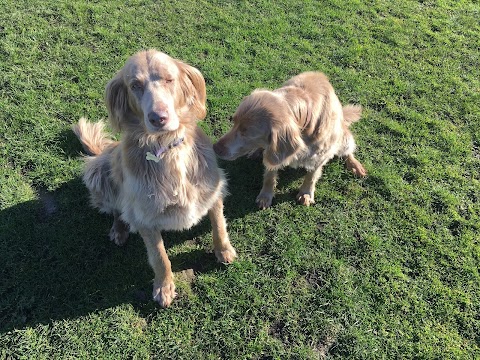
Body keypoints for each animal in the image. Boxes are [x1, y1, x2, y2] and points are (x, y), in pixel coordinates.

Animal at [72, 49, 236, 306]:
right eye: (135, 86)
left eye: (169, 79)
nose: (158, 117)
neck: (167, 149)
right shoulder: (145, 218)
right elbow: (160, 257)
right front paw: (164, 286)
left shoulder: (213, 190)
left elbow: (219, 225)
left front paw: (224, 250)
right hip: (99, 173)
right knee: (118, 208)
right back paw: (119, 229)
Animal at [214, 71, 368, 208]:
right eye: (233, 121)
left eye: (245, 132)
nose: (215, 148)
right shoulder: (275, 152)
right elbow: (270, 175)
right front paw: (265, 196)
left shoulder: (320, 156)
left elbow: (311, 176)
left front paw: (306, 193)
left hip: (342, 139)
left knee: (348, 150)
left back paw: (354, 165)